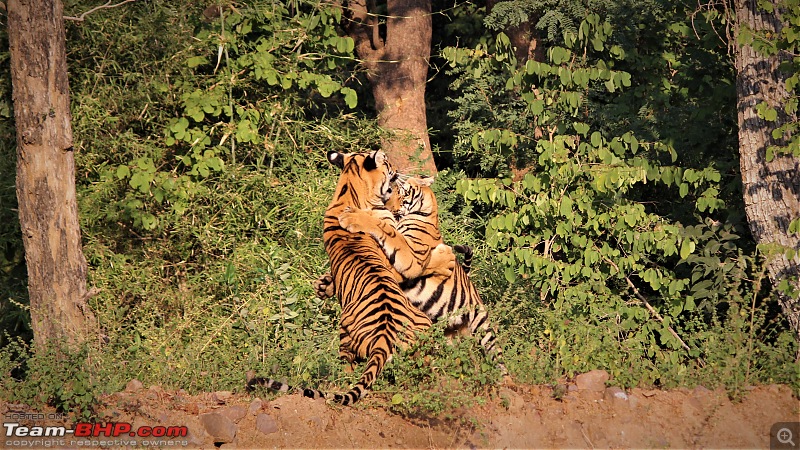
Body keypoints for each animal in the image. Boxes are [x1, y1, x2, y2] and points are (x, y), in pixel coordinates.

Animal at [248, 149, 432, 406]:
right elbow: (390, 235)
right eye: (387, 163)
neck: (347, 188)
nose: (397, 172)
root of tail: (384, 337)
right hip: (350, 330)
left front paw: (324, 286)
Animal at [314, 176, 506, 376]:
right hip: (451, 336)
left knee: (497, 357)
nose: (388, 207)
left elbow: (385, 230)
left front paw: (353, 216)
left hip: (483, 327)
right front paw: (325, 285)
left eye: (402, 192)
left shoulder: (407, 255)